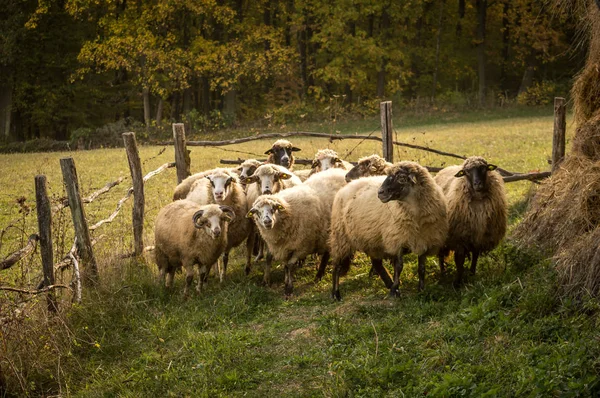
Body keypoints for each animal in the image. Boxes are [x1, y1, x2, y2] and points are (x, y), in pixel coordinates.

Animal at [328, 160, 450, 300]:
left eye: (402, 178)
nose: (380, 193)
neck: (417, 216)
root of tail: (346, 187)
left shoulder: (424, 241)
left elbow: (422, 268)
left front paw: (421, 289)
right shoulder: (397, 239)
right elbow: (399, 266)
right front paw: (395, 290)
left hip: (371, 239)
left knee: (376, 263)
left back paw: (388, 282)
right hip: (340, 236)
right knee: (336, 266)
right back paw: (336, 293)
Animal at [434, 155, 508, 286]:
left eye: (483, 168)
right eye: (467, 172)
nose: (477, 183)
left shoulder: (479, 236)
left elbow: (475, 256)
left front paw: (472, 274)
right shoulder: (460, 238)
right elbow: (459, 262)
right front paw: (457, 283)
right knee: (441, 255)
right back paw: (443, 273)